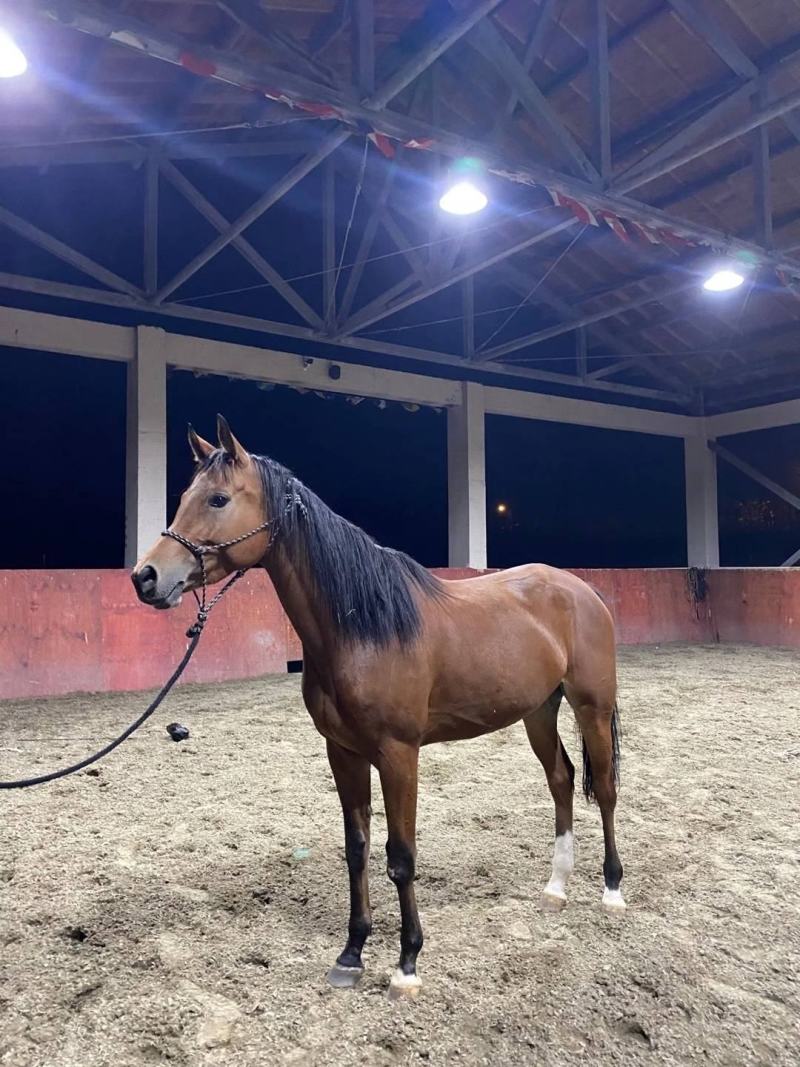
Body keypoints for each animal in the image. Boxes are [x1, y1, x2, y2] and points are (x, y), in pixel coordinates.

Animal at [131, 415, 624, 1000]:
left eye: (219, 498)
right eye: (185, 496)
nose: (145, 577)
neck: (362, 628)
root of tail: (581, 589)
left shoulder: (398, 754)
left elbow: (401, 857)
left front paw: (407, 964)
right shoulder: (343, 753)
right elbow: (358, 849)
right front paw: (351, 952)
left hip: (591, 706)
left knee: (606, 788)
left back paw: (612, 891)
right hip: (538, 712)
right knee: (562, 780)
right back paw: (556, 888)